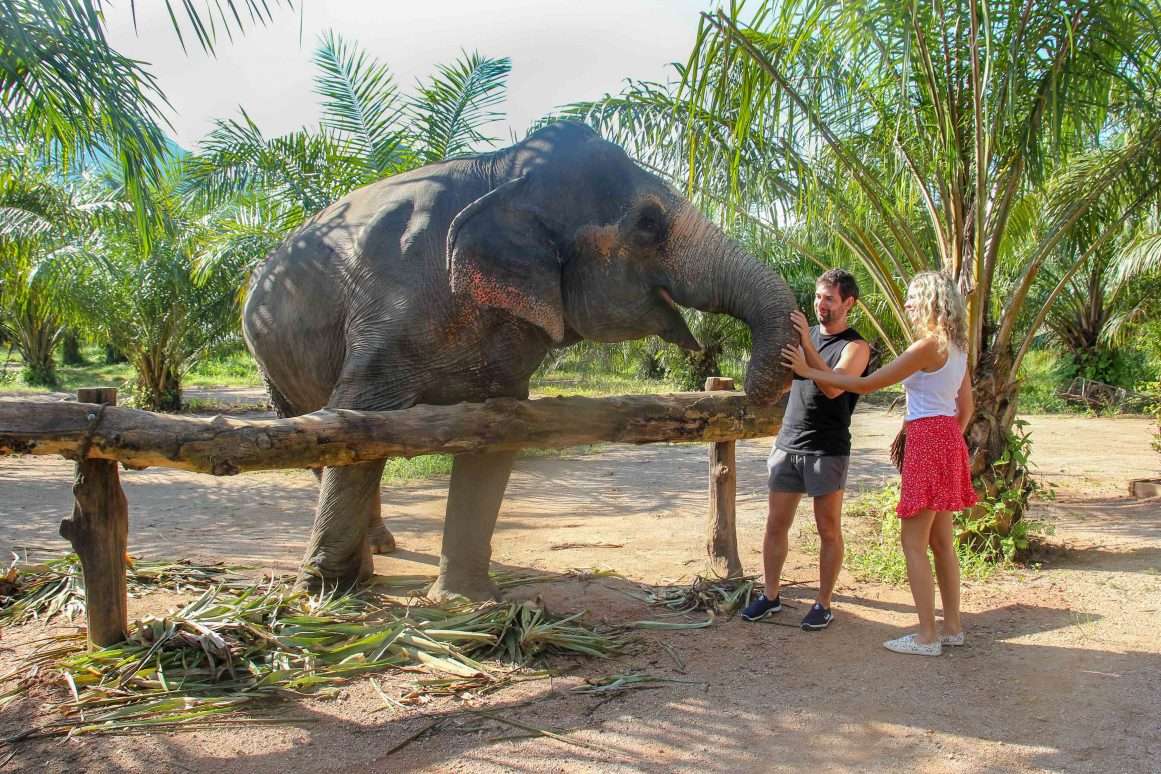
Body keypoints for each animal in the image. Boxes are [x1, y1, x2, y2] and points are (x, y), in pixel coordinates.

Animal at [242, 120, 798, 601]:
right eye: (647, 223)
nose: (750, 389)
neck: (503, 170)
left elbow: (496, 432)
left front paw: (466, 601)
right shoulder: (388, 309)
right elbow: (360, 414)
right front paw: (327, 594)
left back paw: (381, 546)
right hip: (270, 363)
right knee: (321, 434)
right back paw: (360, 562)